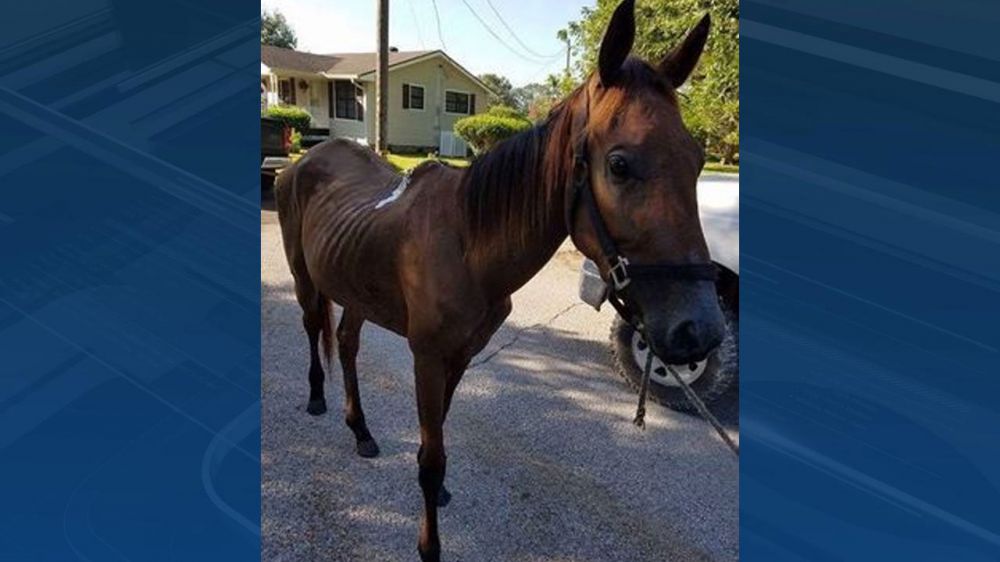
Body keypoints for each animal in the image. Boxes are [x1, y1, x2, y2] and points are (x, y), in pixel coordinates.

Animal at [275, 1, 724, 559]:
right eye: (619, 164)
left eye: (698, 160)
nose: (700, 330)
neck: (468, 242)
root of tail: (308, 158)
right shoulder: (427, 357)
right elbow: (431, 459)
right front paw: (429, 544)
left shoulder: (462, 355)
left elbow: (435, 440)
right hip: (304, 277)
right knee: (313, 328)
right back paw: (317, 397)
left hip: (355, 288)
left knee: (346, 342)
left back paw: (360, 431)